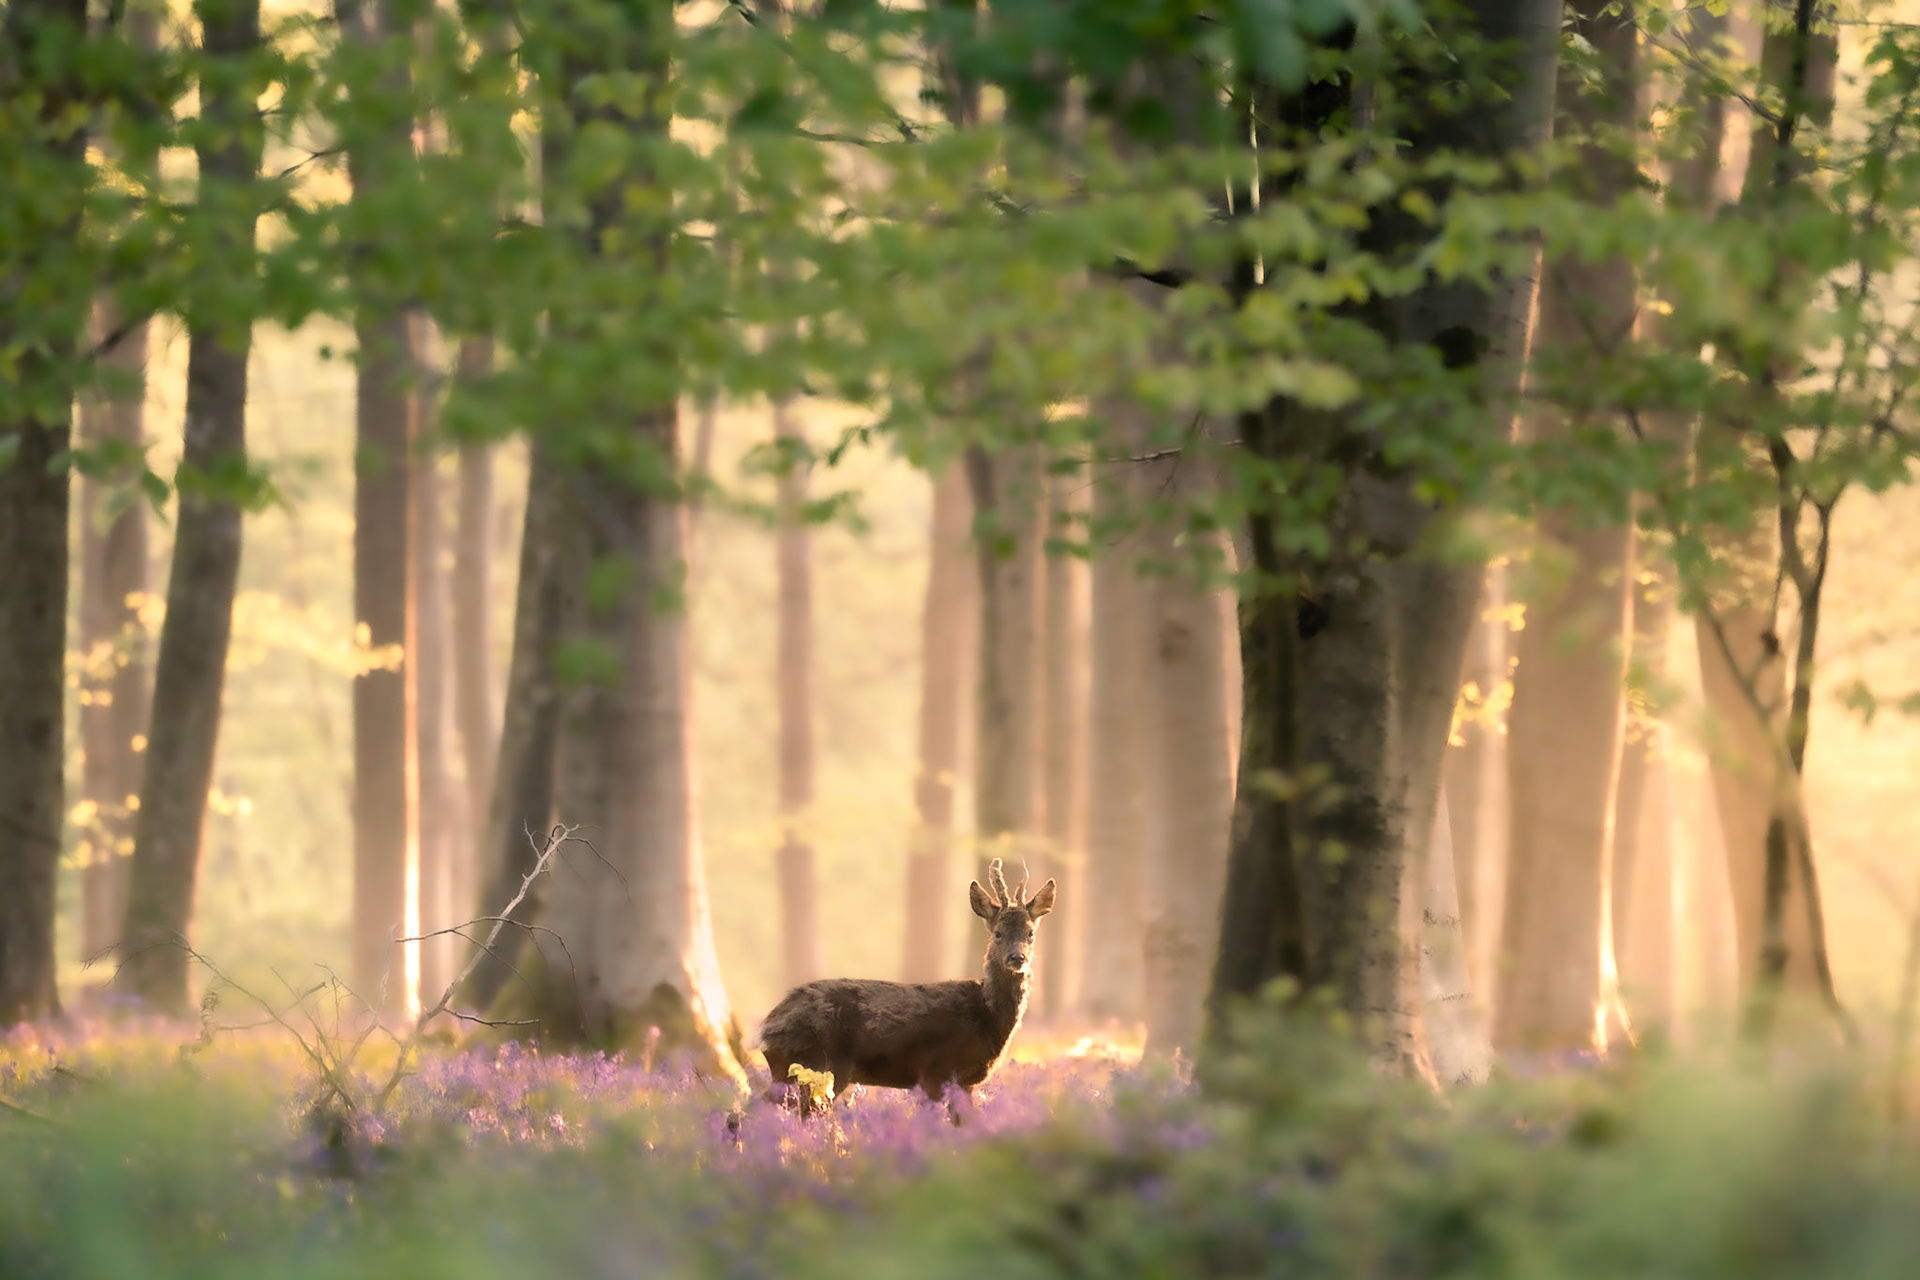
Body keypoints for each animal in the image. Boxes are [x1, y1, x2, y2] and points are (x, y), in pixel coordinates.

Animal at [755, 858, 1056, 1123]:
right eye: (998, 933)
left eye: (1030, 933)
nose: (1017, 958)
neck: (986, 1017)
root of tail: (767, 1028)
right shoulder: (935, 1071)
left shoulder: (965, 1083)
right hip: (821, 1065)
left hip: (790, 1072)